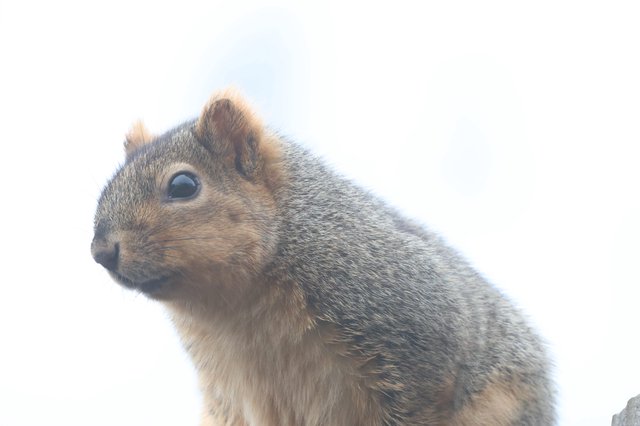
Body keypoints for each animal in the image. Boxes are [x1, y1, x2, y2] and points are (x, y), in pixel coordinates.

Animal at [91, 89, 555, 425]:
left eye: (184, 185)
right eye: (110, 183)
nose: (101, 251)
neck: (237, 308)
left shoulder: (416, 330)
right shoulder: (228, 396)